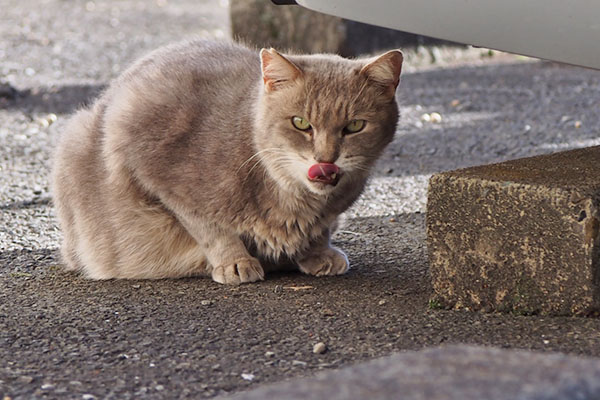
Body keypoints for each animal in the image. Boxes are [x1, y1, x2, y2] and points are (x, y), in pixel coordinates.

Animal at [51, 39, 404, 284]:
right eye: (301, 123)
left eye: (354, 126)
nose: (326, 158)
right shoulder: (159, 173)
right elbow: (211, 228)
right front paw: (235, 262)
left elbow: (321, 229)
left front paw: (317, 253)